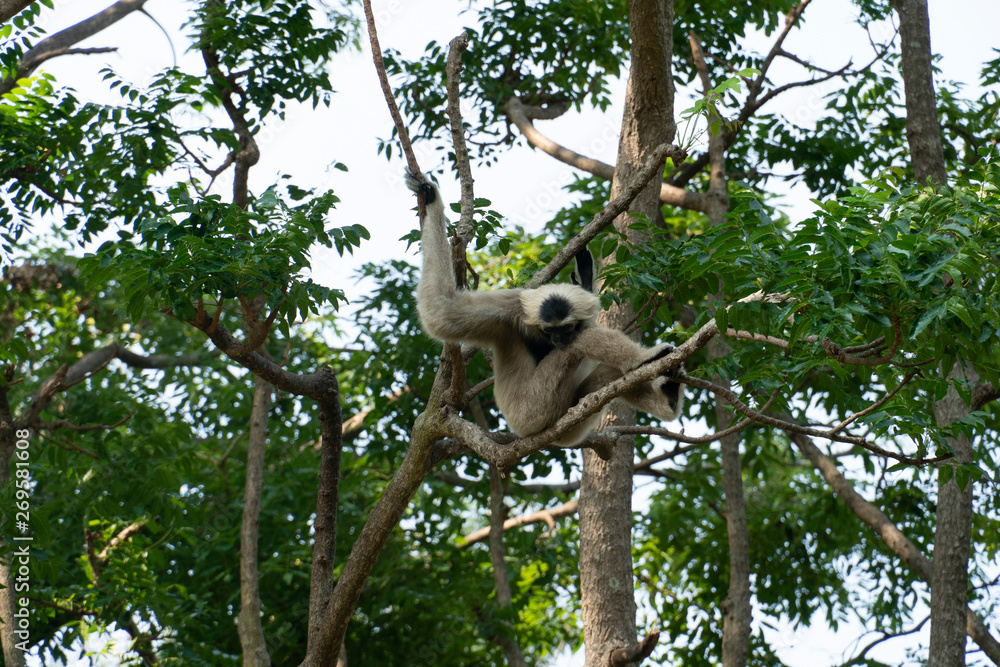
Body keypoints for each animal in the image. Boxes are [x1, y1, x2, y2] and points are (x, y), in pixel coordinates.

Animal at [407, 171, 683, 446]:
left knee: (604, 372)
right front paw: (431, 198)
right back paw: (645, 360)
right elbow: (441, 313)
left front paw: (585, 276)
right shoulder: (509, 309)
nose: (560, 338)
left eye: (565, 327)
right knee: (578, 345)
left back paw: (669, 398)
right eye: (550, 330)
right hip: (535, 408)